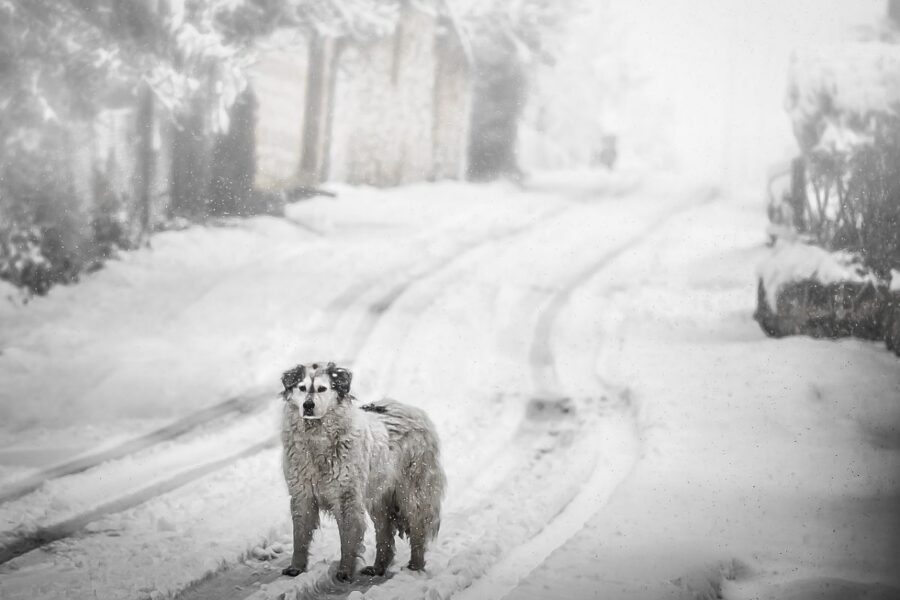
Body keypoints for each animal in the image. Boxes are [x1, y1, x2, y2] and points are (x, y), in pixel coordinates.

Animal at [280, 360, 444, 580]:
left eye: (322, 389)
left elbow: (348, 538)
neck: (317, 440)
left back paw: (414, 567)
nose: (308, 405)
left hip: (411, 494)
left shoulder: (346, 498)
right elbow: (300, 536)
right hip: (379, 498)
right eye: (302, 388)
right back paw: (378, 567)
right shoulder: (302, 496)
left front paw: (345, 571)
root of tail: (413, 410)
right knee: (385, 534)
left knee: (417, 530)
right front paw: (296, 567)